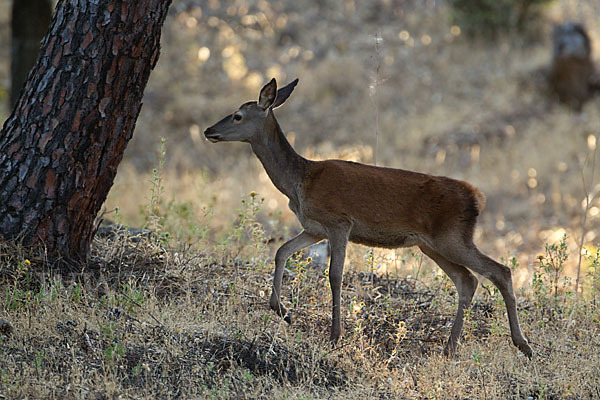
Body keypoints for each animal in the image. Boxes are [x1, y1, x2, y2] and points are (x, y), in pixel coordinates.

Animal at [204, 77, 532, 356]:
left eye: (237, 115)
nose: (209, 131)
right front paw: (283, 311)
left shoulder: (339, 222)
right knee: (467, 280)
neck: (300, 183)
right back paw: (450, 348)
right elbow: (281, 251)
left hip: (452, 237)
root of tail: (477, 198)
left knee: (500, 271)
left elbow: (335, 275)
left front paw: (335, 335)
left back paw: (522, 344)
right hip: (431, 244)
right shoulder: (314, 228)